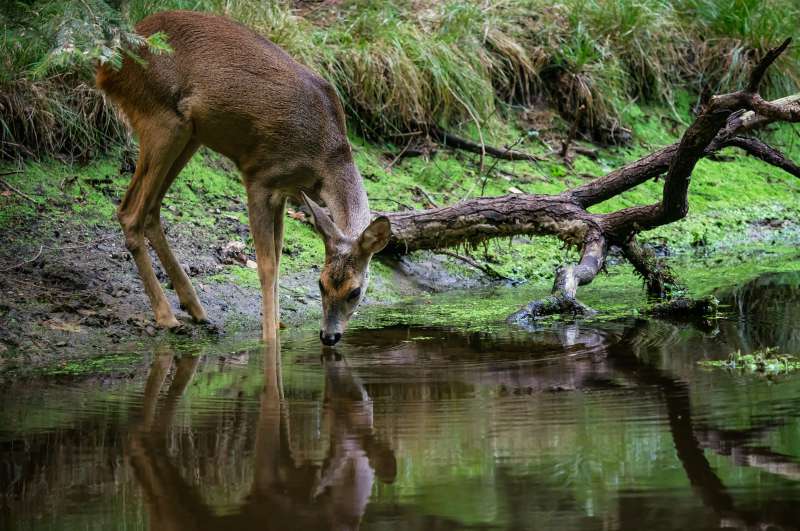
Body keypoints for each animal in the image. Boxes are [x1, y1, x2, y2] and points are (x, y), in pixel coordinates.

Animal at [94, 12, 390, 348]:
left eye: (355, 291)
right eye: (320, 283)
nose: (329, 336)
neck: (325, 157)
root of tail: (107, 63)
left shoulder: (285, 191)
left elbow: (278, 258)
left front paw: (279, 325)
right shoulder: (260, 175)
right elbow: (267, 266)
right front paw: (269, 338)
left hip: (189, 133)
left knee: (151, 209)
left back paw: (195, 308)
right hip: (160, 119)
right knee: (130, 212)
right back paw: (166, 316)